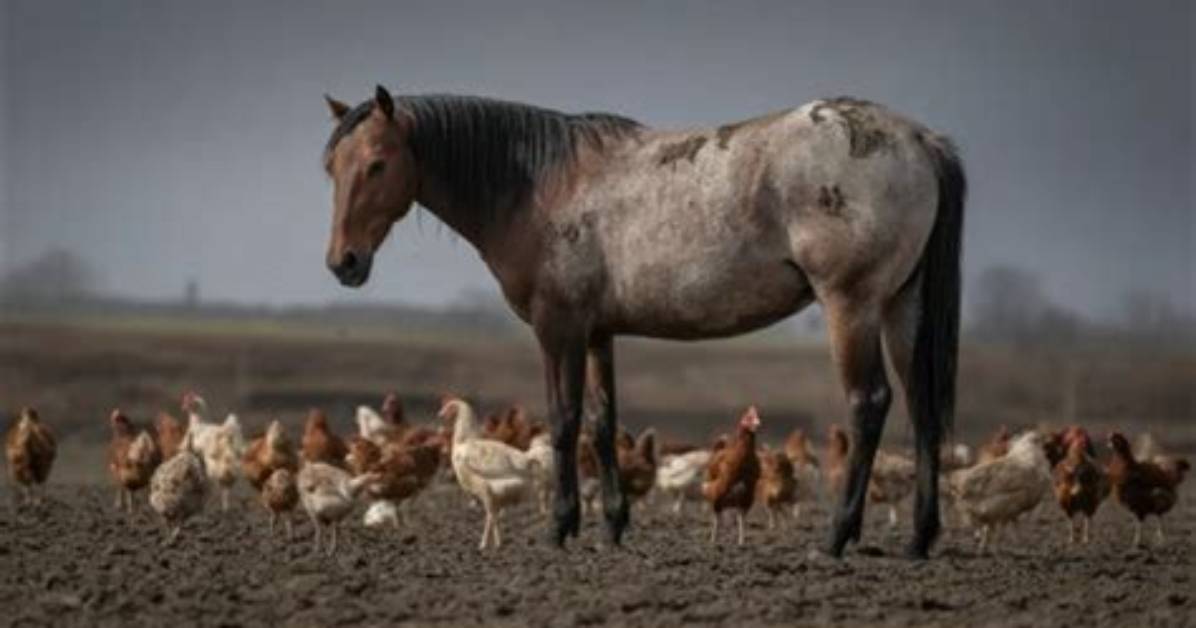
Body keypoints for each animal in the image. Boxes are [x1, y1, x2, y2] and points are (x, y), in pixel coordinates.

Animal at [320, 86, 965, 559]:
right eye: (332, 166)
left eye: (377, 164)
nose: (342, 263)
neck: (540, 188)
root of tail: (918, 140)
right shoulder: (598, 333)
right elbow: (603, 423)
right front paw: (613, 525)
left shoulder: (558, 328)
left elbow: (563, 421)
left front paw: (560, 528)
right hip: (901, 305)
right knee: (922, 408)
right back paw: (918, 538)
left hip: (851, 305)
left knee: (869, 403)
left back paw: (836, 537)